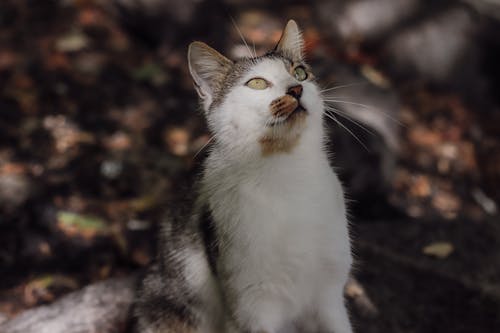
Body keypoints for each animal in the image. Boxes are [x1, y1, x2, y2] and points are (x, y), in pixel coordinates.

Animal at [131, 19, 354, 330]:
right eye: (257, 83)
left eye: (299, 72)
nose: (296, 89)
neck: (286, 170)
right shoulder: (251, 306)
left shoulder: (330, 297)